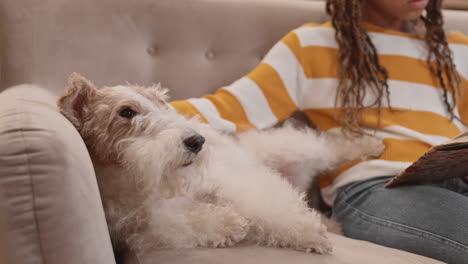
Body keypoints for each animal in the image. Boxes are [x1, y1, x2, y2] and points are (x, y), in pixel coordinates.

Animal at [56, 73, 386, 260]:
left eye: (161, 103)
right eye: (126, 112)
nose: (197, 140)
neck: (139, 182)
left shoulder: (231, 183)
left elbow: (271, 211)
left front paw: (307, 235)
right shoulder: (142, 228)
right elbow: (184, 223)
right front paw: (229, 225)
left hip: (291, 148)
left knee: (329, 147)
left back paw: (371, 146)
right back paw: (333, 225)